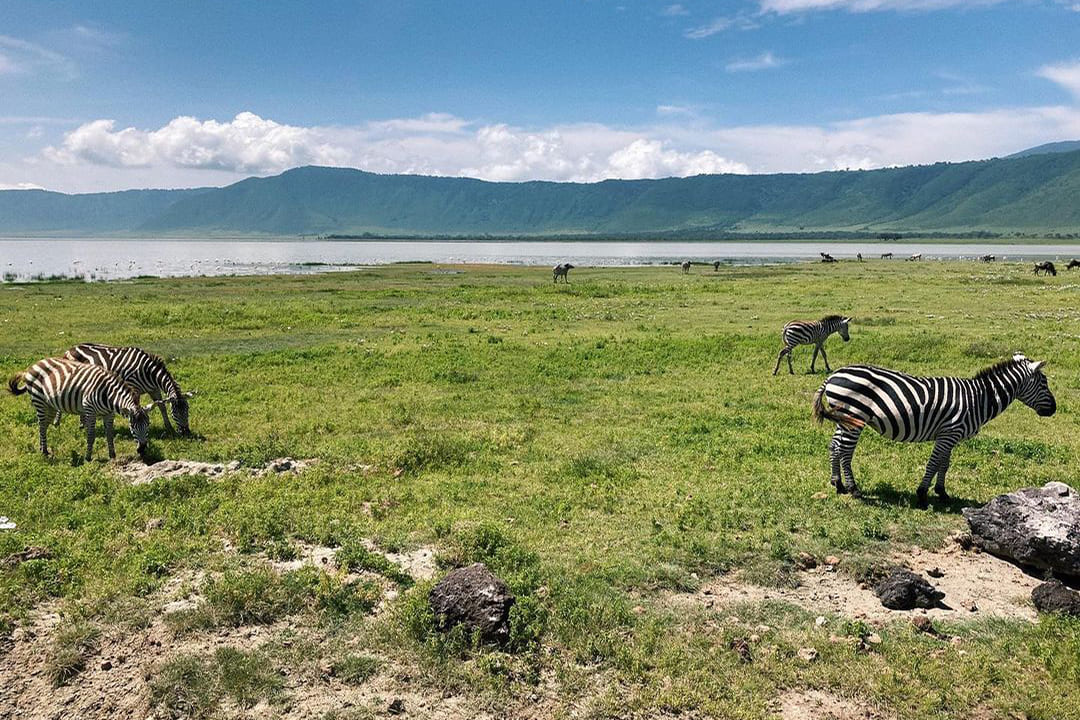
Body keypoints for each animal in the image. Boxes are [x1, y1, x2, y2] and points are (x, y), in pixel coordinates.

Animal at [7, 356, 152, 459]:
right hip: (39, 401)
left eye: (148, 424)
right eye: (132, 426)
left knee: (45, 425)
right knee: (41, 425)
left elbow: (110, 434)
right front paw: (88, 457)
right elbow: (91, 434)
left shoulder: (109, 414)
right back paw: (44, 452)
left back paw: (43, 448)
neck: (108, 395)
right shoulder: (90, 410)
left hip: (50, 405)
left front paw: (112, 455)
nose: (142, 449)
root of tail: (34, 364)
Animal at [62, 343, 194, 436]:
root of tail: (69, 349)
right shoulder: (134, 388)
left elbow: (162, 407)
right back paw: (82, 424)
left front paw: (169, 427)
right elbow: (136, 407)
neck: (149, 373)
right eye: (175, 411)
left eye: (187, 410)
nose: (186, 432)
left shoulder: (154, 389)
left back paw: (82, 425)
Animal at [812, 354, 1054, 507]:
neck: (978, 399)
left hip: (844, 419)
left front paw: (942, 493)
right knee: (845, 451)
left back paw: (838, 484)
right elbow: (933, 462)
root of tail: (833, 375)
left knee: (834, 446)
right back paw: (853, 489)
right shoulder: (949, 433)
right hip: (855, 415)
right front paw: (921, 495)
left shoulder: (950, 435)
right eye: (1044, 382)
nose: (1054, 409)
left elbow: (944, 464)